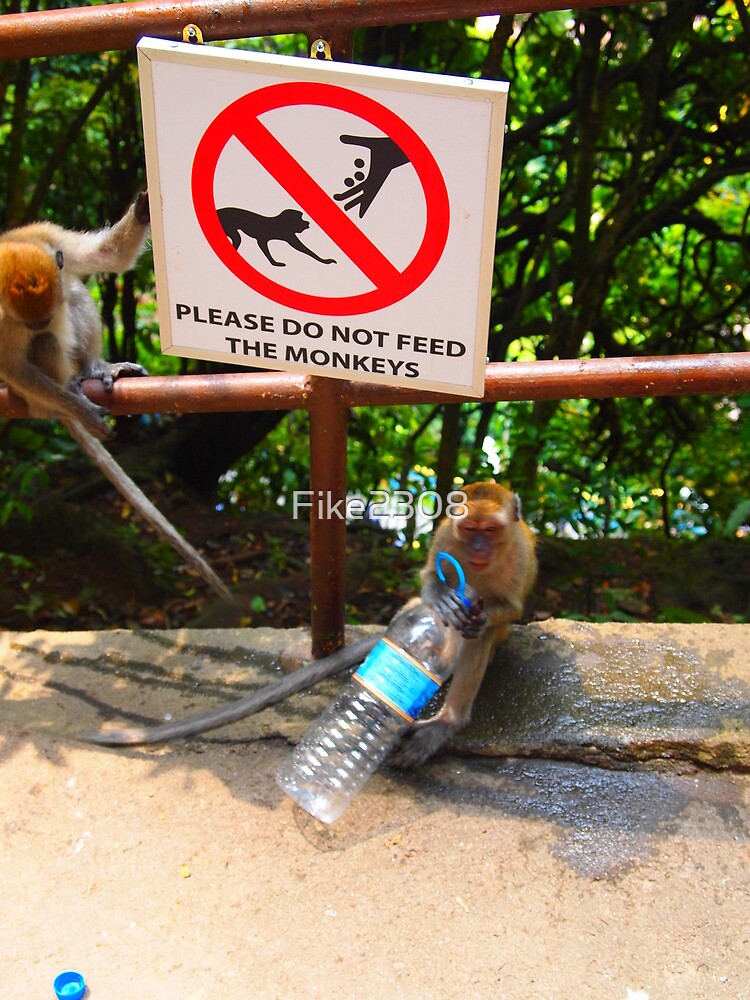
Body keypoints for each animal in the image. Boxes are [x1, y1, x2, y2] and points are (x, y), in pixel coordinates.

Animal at [0, 194, 231, 601]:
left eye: (44, 312)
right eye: (32, 320)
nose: (42, 323)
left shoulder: (49, 237)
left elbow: (106, 257)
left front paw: (144, 207)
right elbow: (11, 364)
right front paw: (82, 411)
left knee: (75, 291)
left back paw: (94, 368)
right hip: (30, 388)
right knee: (40, 351)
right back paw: (69, 388)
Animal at [83, 482, 536, 762]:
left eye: (490, 530)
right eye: (471, 528)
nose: (478, 549)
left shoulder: (518, 555)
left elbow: (512, 607)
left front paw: (477, 611)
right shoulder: (444, 538)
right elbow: (428, 580)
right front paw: (443, 599)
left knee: (481, 638)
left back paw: (446, 721)